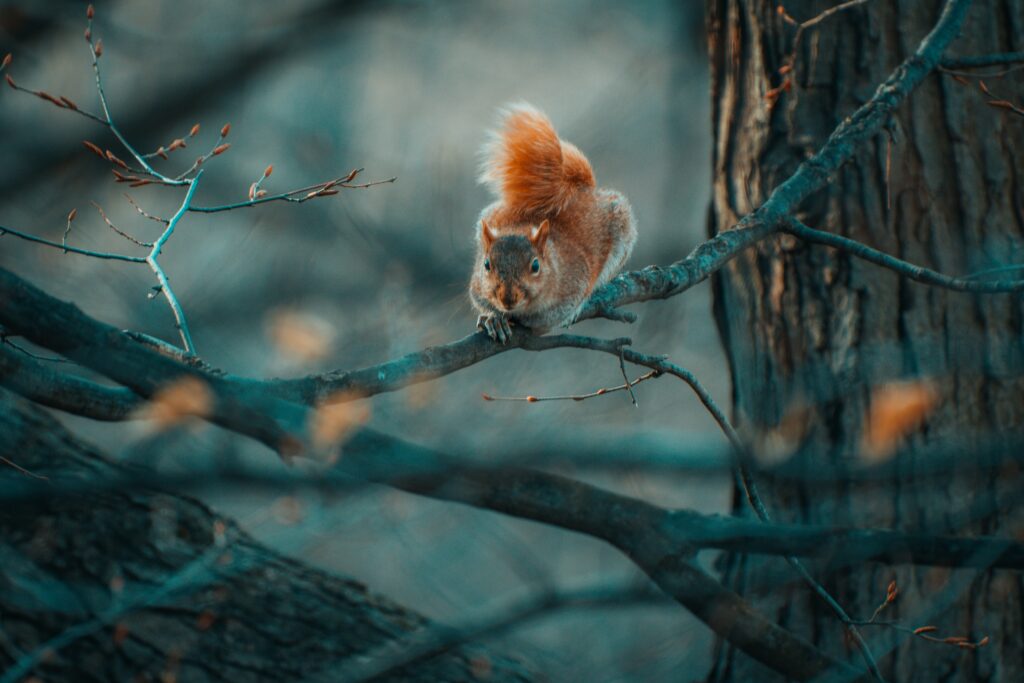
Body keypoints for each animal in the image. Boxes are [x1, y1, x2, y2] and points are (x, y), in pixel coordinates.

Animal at [469, 104, 637, 343]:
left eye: (535, 266)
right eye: (486, 265)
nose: (508, 300)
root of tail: (583, 188)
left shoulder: (572, 287)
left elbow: (547, 319)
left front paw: (521, 320)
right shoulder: (477, 285)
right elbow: (479, 299)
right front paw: (493, 318)